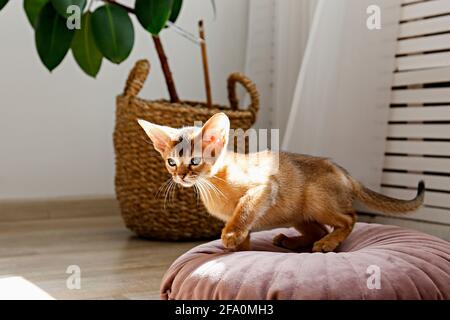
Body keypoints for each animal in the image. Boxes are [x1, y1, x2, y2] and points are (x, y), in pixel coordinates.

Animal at [138, 113, 426, 252]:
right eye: (171, 162)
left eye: (195, 161)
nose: (180, 175)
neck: (214, 184)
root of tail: (344, 172)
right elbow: (245, 231)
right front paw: (239, 250)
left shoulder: (265, 187)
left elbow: (244, 211)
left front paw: (230, 236)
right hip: (299, 214)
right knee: (319, 229)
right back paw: (292, 242)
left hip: (318, 200)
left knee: (349, 219)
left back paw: (327, 244)